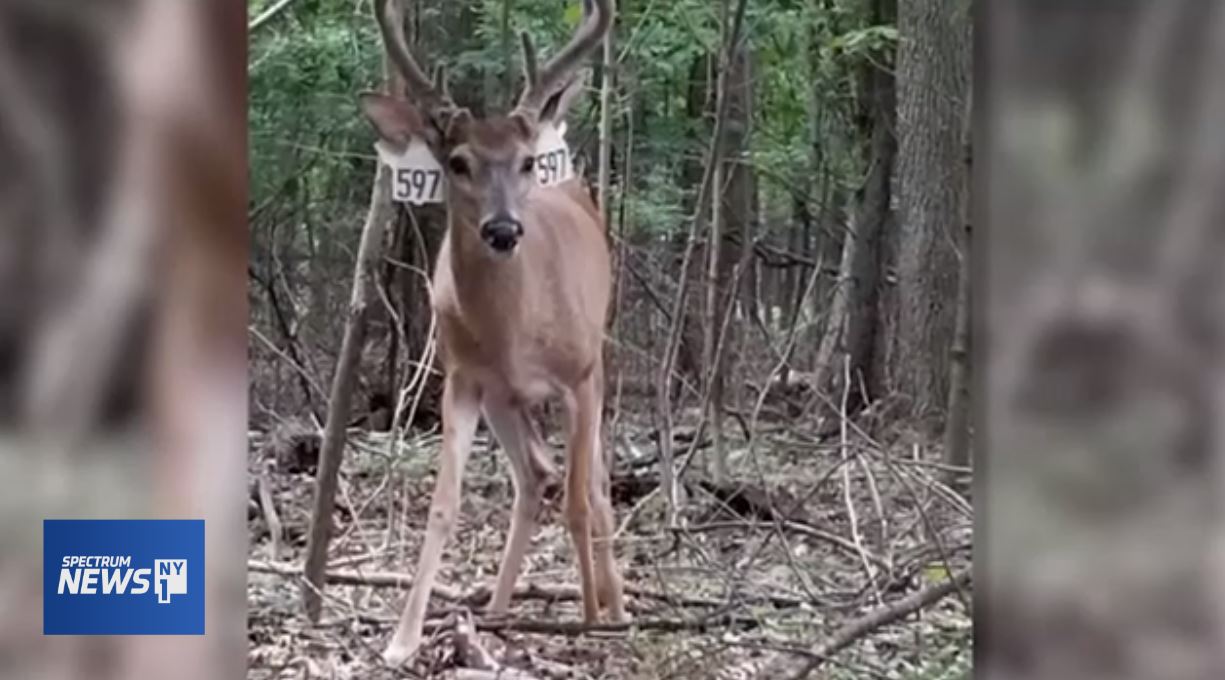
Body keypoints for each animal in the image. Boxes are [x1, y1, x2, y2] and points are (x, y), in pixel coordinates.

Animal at [355, 0, 622, 666]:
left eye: (525, 162)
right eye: (457, 162)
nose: (503, 229)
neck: (515, 330)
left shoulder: (580, 375)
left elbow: (581, 502)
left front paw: (590, 619)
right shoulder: (464, 378)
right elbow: (443, 507)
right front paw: (401, 640)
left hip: (597, 366)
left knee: (595, 488)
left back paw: (616, 608)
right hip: (505, 398)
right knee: (535, 477)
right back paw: (498, 613)